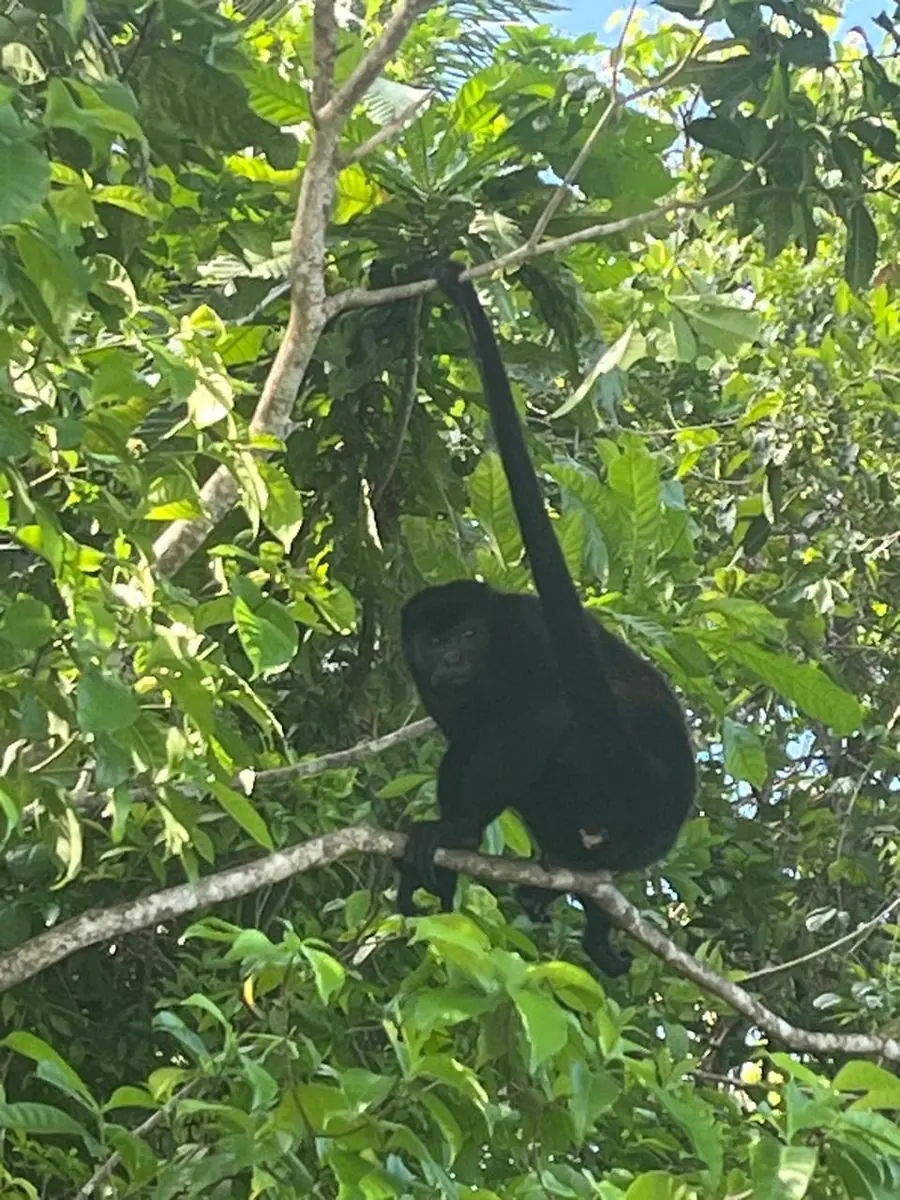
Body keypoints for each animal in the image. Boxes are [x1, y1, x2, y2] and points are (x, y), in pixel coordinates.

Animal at [396, 263, 695, 976]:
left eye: (470, 635)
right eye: (436, 640)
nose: (455, 658)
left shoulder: (525, 637)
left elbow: (539, 715)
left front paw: (453, 832)